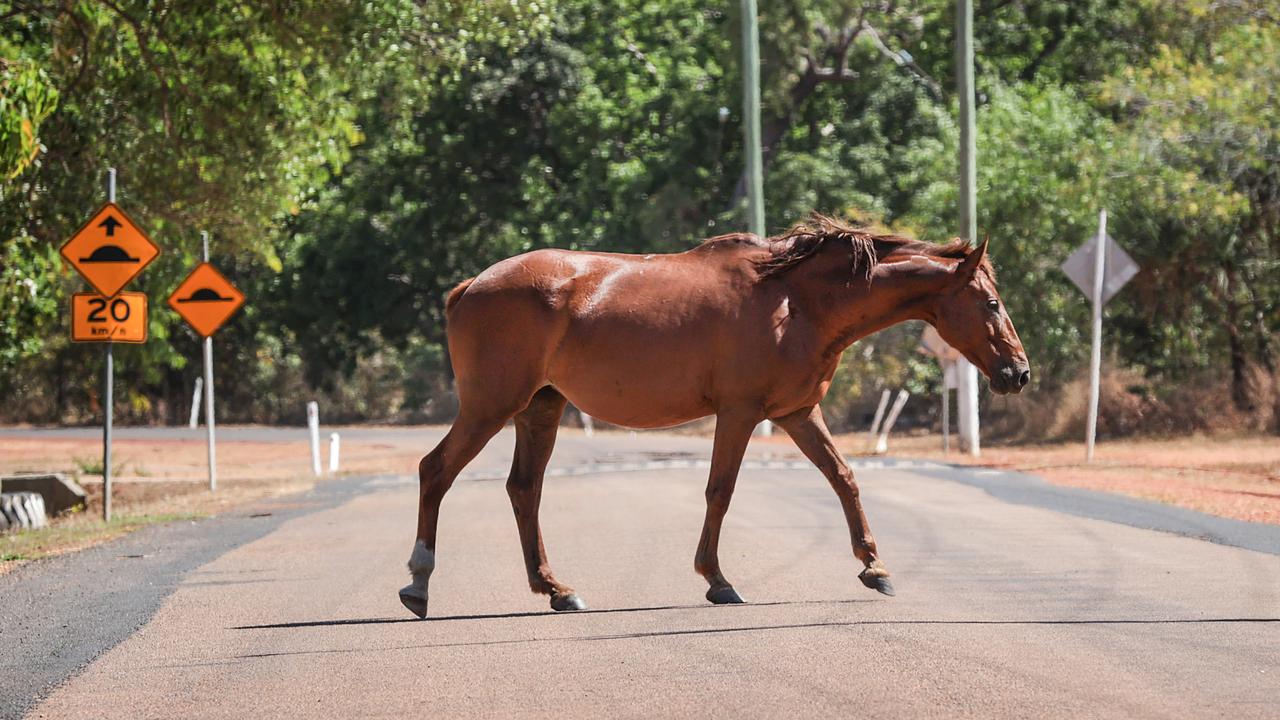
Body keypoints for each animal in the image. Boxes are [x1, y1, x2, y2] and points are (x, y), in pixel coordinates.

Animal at [399, 212, 1029, 617]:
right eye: (991, 302)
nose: (1018, 373)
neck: (794, 301)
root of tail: (470, 286)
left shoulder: (799, 413)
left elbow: (844, 478)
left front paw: (875, 567)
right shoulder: (741, 413)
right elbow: (720, 491)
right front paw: (718, 580)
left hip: (540, 410)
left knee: (524, 490)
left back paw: (557, 590)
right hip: (491, 407)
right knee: (437, 472)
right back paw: (419, 586)